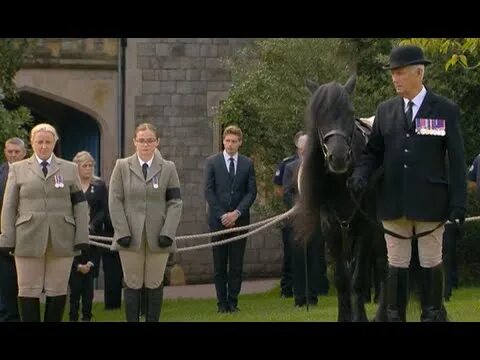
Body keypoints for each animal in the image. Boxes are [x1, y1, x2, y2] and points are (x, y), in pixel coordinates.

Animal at [294, 74, 388, 322]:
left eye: (349, 111)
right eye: (319, 114)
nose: (338, 157)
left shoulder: (366, 226)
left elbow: (358, 279)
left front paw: (360, 317)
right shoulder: (331, 228)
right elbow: (341, 279)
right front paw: (345, 316)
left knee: (385, 266)